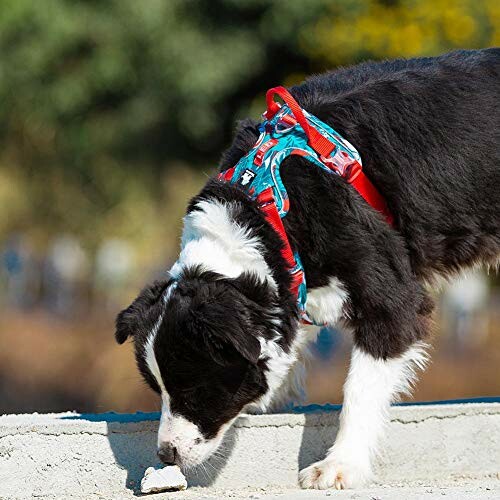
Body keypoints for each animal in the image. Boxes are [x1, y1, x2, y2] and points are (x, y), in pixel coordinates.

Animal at [114, 49, 500, 488]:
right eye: (156, 388)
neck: (264, 210)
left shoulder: (391, 297)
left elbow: (359, 388)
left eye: (194, 390)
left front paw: (340, 464)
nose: (166, 454)